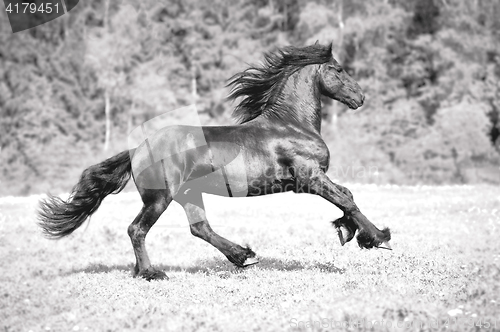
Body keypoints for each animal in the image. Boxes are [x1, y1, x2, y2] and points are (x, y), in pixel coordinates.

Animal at [38, 41, 390, 280]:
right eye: (339, 70)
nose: (360, 98)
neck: (290, 124)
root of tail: (138, 149)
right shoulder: (310, 178)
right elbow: (346, 198)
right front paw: (375, 237)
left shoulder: (309, 181)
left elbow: (345, 198)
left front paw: (348, 230)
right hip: (160, 198)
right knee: (137, 229)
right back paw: (152, 273)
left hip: (188, 194)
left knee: (199, 228)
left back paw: (242, 256)